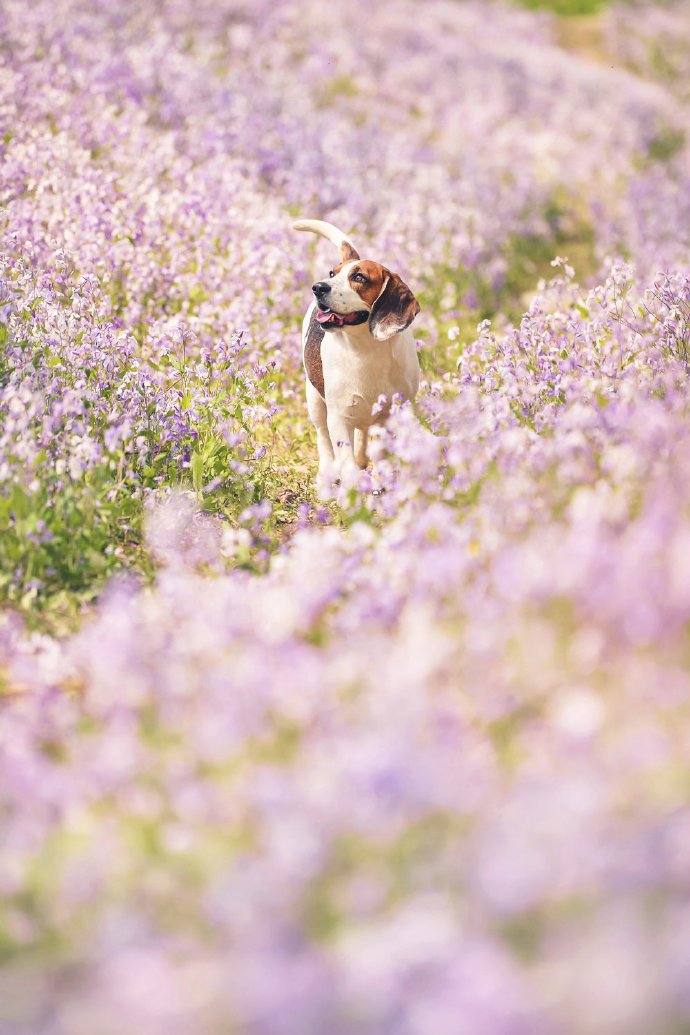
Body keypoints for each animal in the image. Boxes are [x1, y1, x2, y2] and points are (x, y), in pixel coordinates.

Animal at [289, 218, 417, 484]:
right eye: (332, 274)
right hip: (315, 401)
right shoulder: (338, 417)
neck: (367, 348)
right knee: (323, 438)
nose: (318, 287)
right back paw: (328, 472)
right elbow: (344, 458)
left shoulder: (396, 411)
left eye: (359, 277)